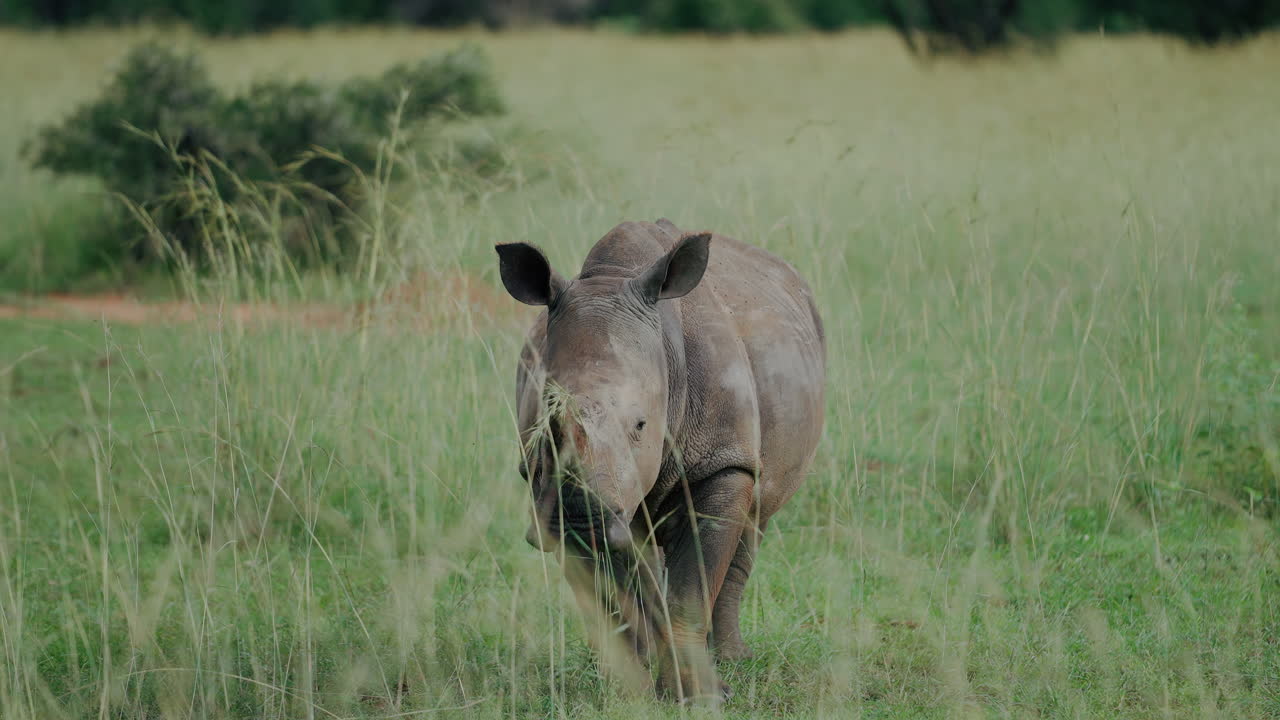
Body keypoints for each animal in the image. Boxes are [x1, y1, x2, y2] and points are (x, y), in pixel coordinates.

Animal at [496, 219, 825, 703]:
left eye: (641, 424)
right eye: (544, 424)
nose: (578, 518)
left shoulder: (723, 462)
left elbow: (690, 590)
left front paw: (702, 697)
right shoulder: (551, 491)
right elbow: (614, 597)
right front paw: (629, 690)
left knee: (753, 521)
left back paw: (733, 659)